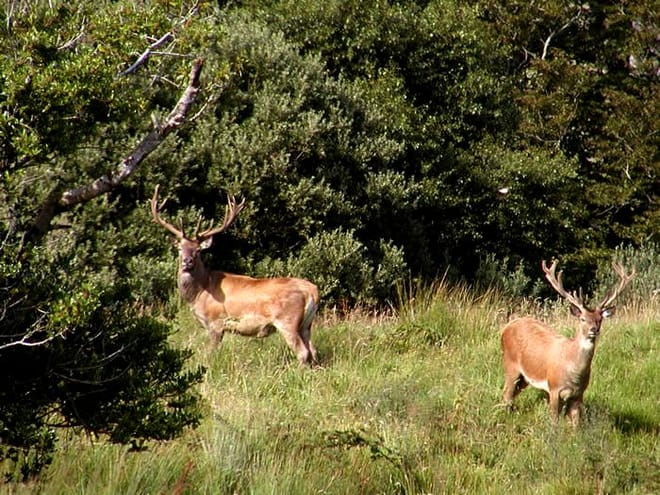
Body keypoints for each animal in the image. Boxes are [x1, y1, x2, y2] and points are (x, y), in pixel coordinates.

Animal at [150, 185, 320, 366]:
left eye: (198, 250)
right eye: (180, 248)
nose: (187, 261)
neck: (200, 292)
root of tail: (312, 291)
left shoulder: (216, 322)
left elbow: (210, 354)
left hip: (287, 320)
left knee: (303, 352)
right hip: (306, 325)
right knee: (313, 351)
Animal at [500, 259, 635, 425]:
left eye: (600, 319)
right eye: (582, 319)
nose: (594, 329)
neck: (573, 372)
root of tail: (506, 327)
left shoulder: (579, 394)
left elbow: (576, 424)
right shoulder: (553, 388)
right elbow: (554, 421)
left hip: (525, 377)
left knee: (512, 394)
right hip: (510, 364)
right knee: (506, 393)